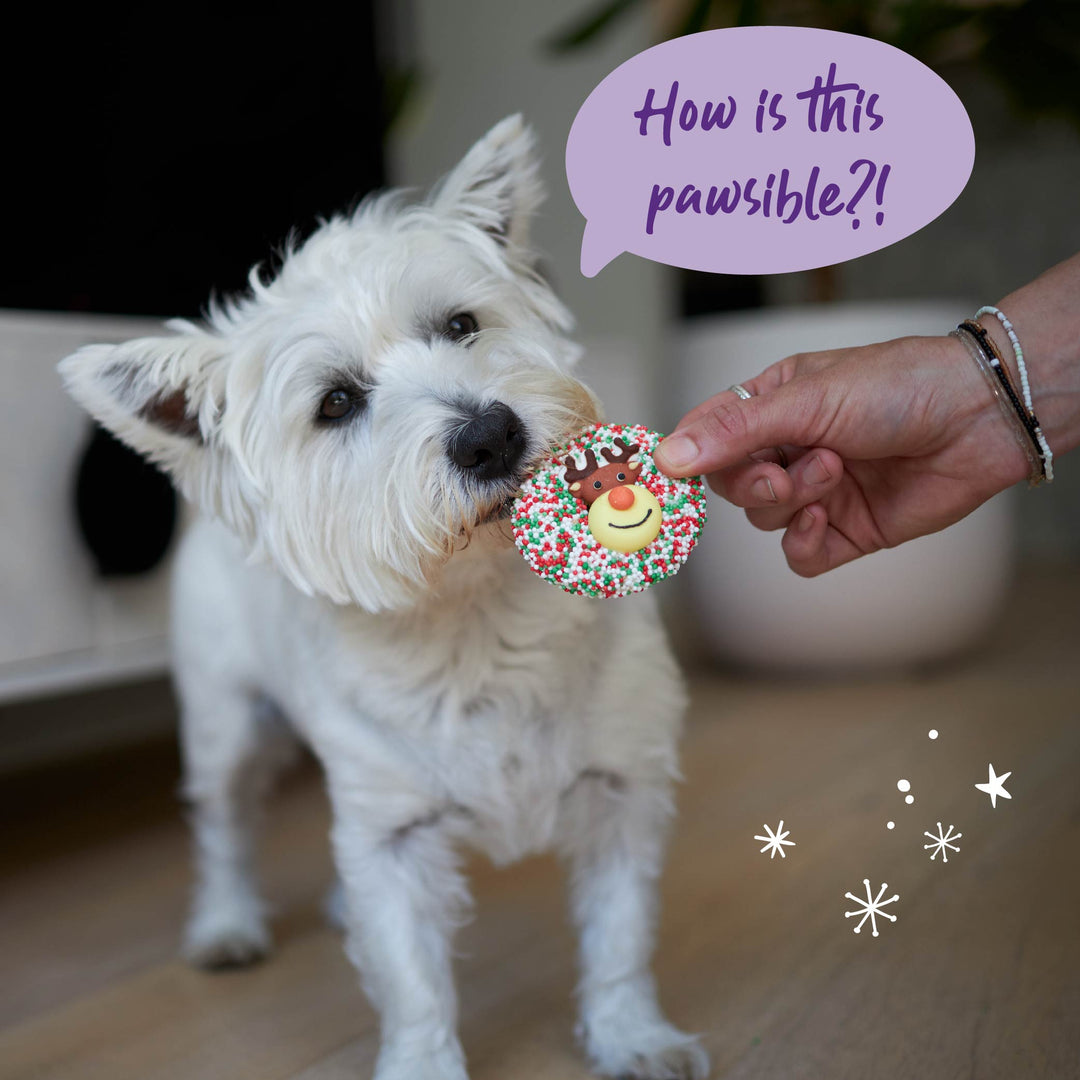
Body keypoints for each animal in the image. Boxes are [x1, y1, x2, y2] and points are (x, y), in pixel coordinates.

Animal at [61, 116, 708, 1080]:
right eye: (335, 403)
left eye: (461, 325)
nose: (490, 434)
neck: (476, 618)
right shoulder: (393, 836)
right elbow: (412, 980)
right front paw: (424, 1063)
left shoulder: (621, 785)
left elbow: (620, 936)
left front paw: (634, 1038)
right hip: (227, 723)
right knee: (224, 829)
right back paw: (225, 925)